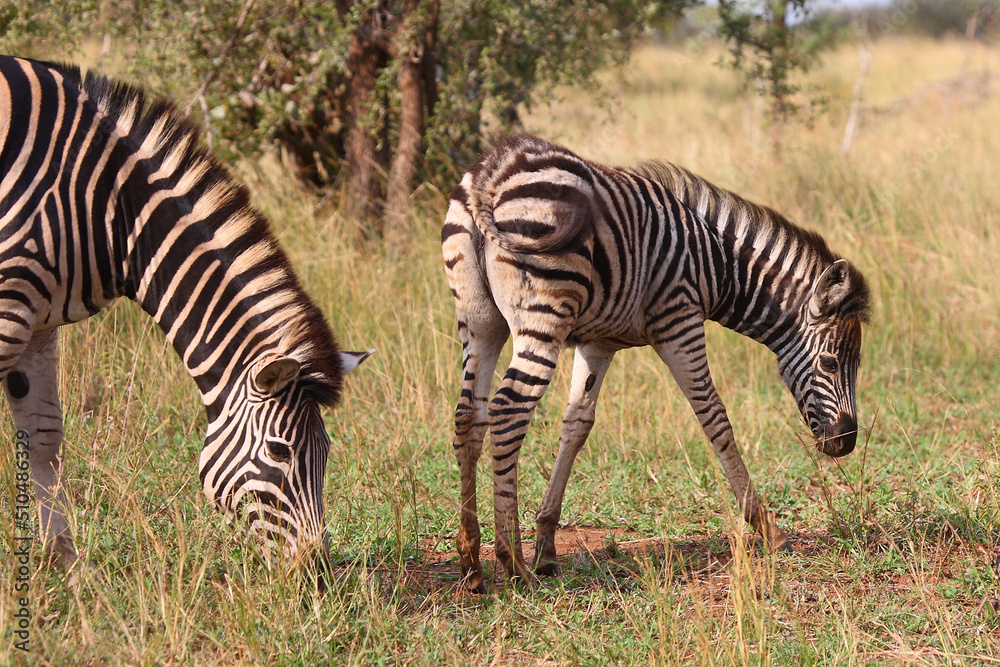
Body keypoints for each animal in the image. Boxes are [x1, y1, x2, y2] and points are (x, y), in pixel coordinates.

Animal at [0, 56, 372, 570]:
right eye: (279, 451)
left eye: (327, 450)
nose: (314, 571)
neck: (108, 209)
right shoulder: (8, 306)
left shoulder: (39, 322)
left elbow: (43, 435)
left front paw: (65, 567)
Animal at [441, 134, 870, 591]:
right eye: (830, 363)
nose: (846, 443)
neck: (721, 265)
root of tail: (491, 174)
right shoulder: (678, 320)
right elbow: (715, 417)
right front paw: (767, 529)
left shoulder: (598, 342)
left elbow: (577, 424)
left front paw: (547, 546)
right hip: (543, 314)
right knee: (509, 411)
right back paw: (512, 562)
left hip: (479, 320)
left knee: (469, 416)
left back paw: (472, 562)